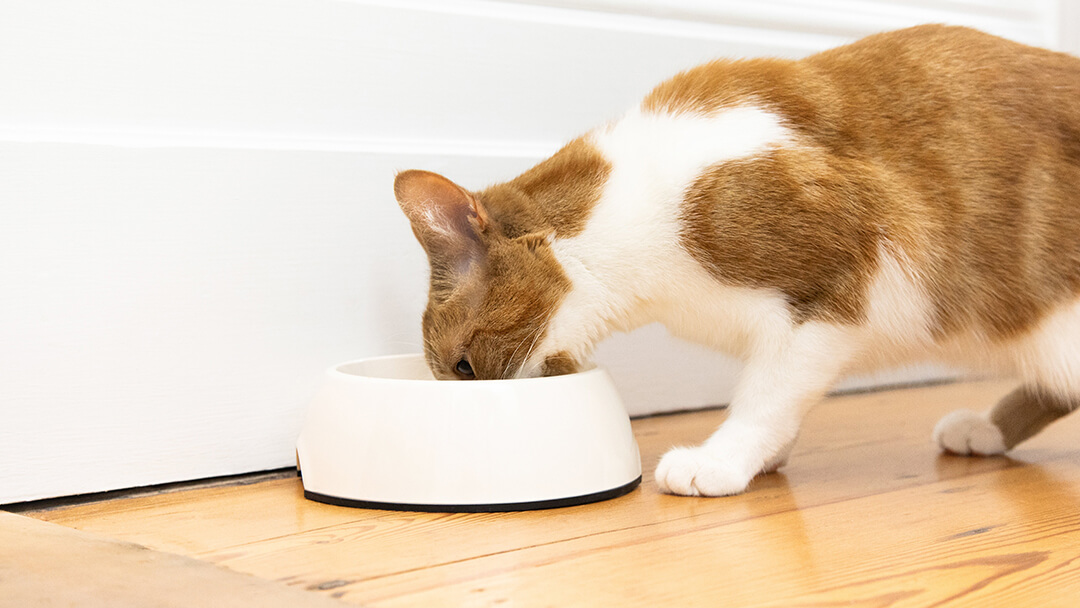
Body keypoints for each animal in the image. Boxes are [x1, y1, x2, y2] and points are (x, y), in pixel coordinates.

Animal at [393, 24, 1080, 498]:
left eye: (462, 365)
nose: (467, 402)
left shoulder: (835, 288)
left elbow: (768, 394)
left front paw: (722, 460)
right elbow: (783, 397)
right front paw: (763, 459)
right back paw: (983, 429)